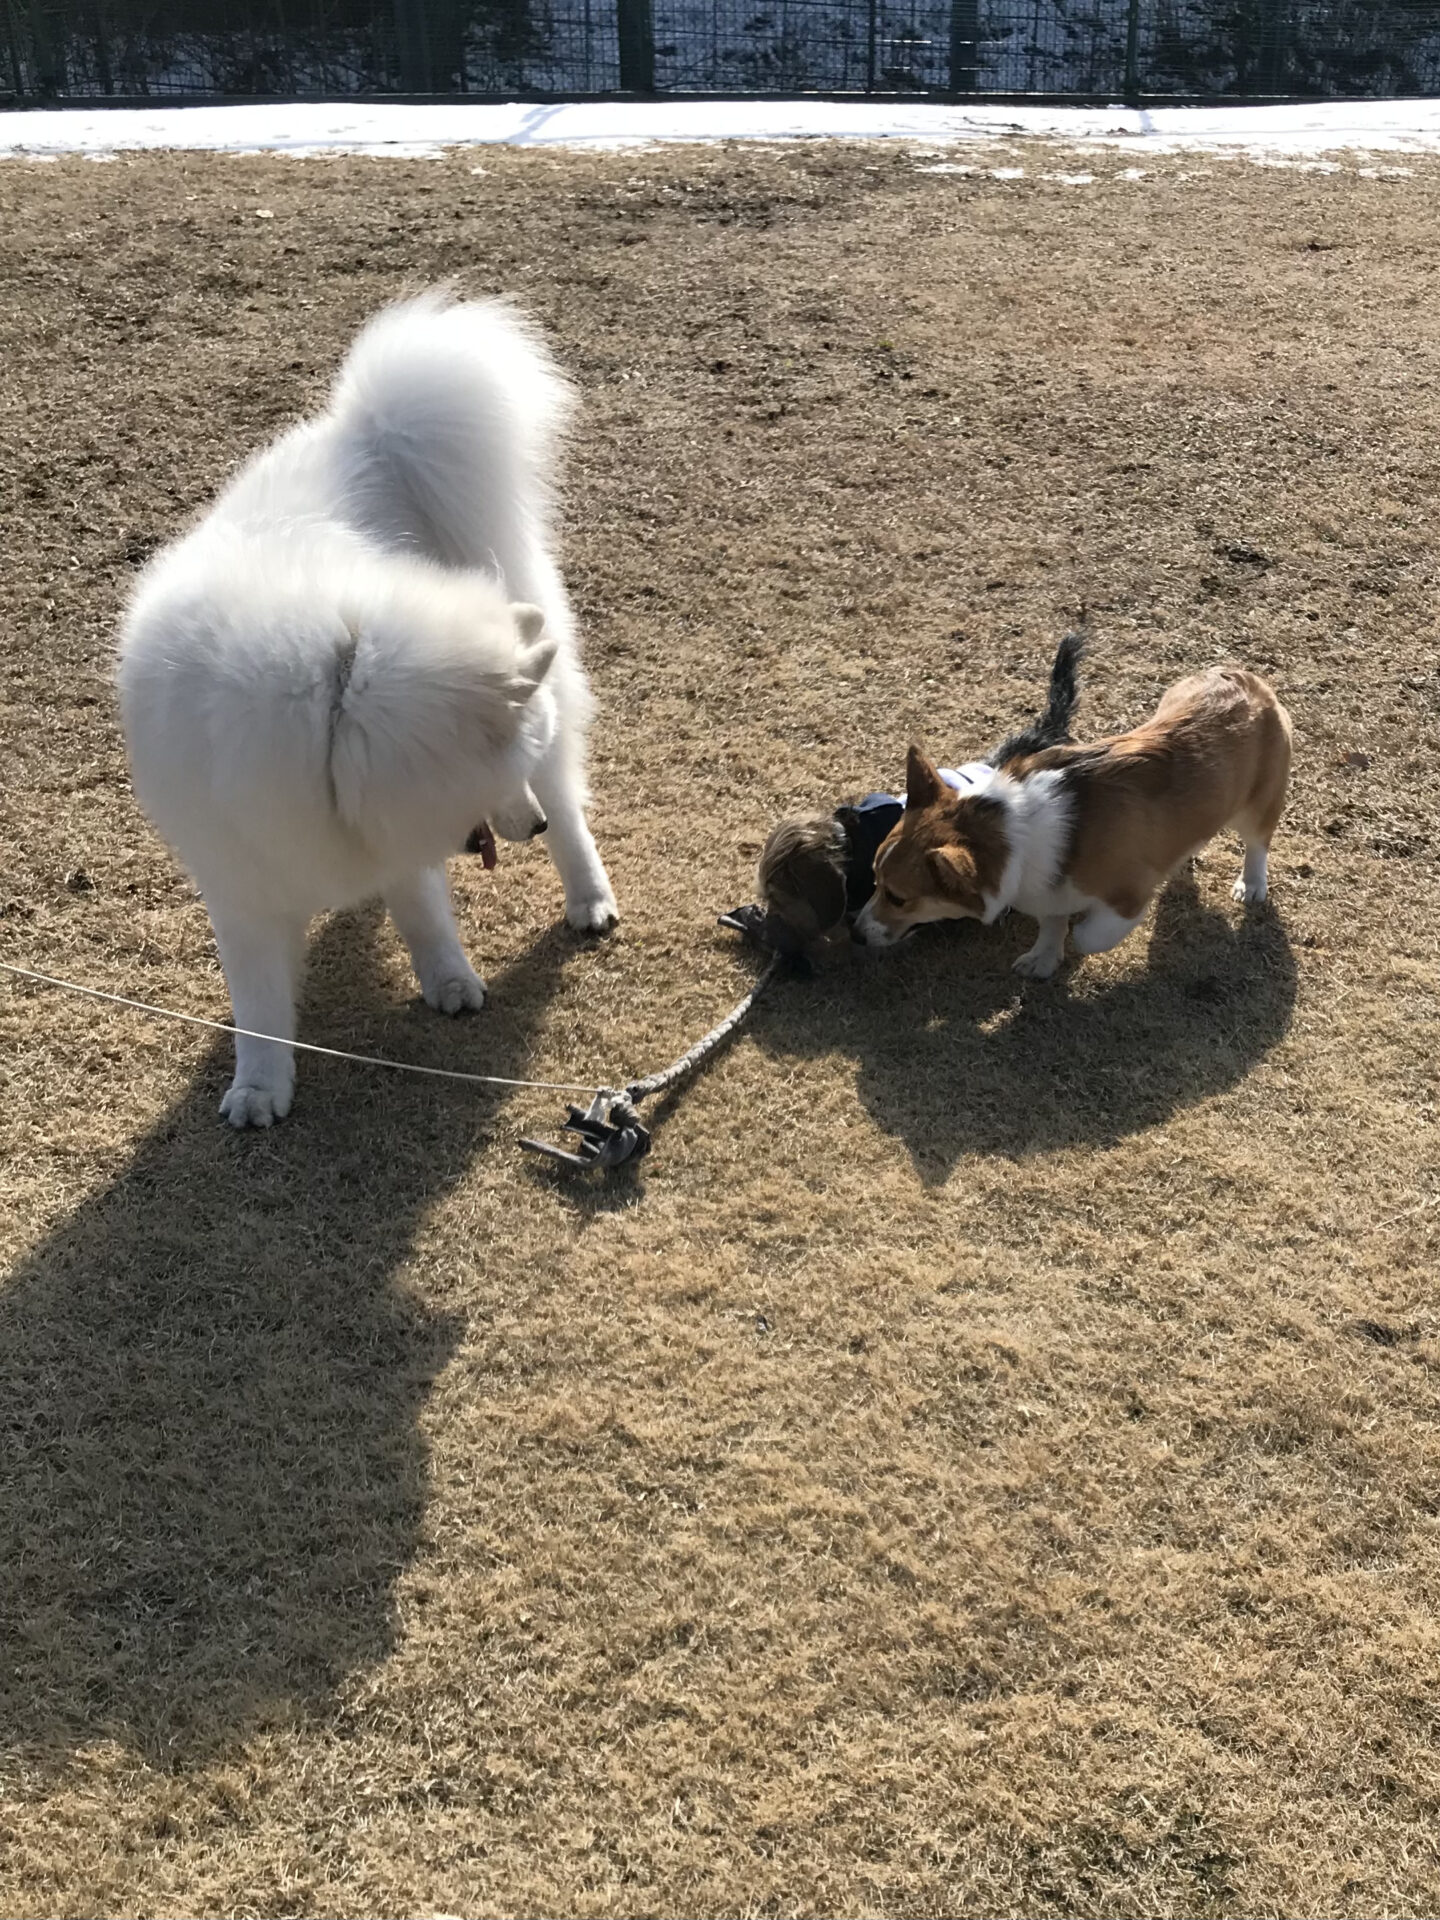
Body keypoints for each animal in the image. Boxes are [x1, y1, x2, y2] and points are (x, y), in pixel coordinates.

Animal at [116, 291, 617, 1127]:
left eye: (514, 766)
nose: (532, 825)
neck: (336, 692)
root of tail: (369, 430)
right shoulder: (242, 880)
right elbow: (258, 1003)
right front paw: (260, 1086)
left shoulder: (398, 835)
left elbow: (423, 911)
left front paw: (450, 980)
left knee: (571, 801)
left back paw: (589, 894)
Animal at [855, 661, 1291, 976]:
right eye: (873, 880)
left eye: (898, 897)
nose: (855, 934)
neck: (1017, 828)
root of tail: (1245, 679)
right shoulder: (1049, 887)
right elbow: (1051, 926)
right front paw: (1043, 961)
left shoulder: (1127, 897)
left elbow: (1086, 935)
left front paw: (1074, 938)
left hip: (1258, 806)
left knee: (1257, 844)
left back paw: (1251, 884)